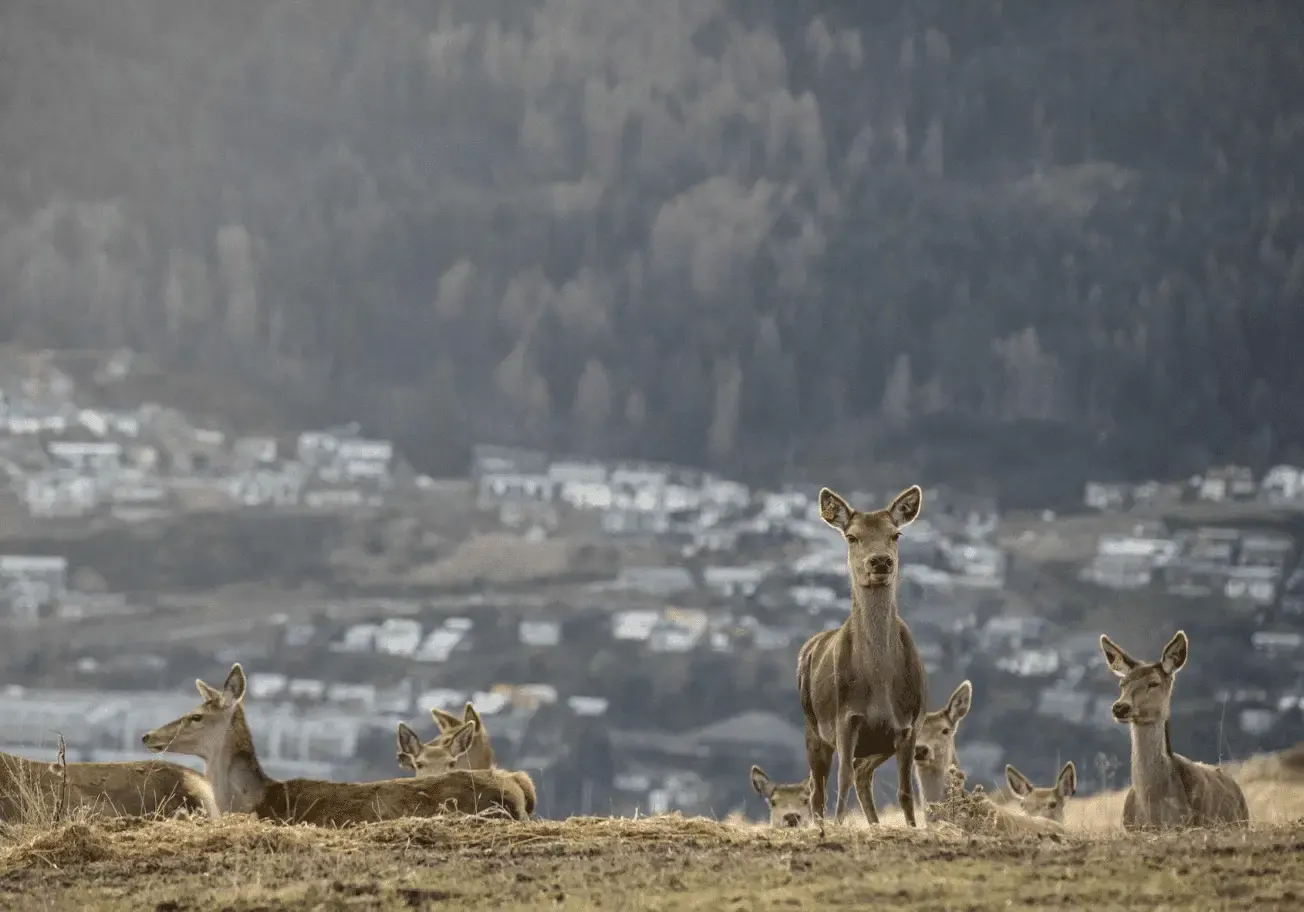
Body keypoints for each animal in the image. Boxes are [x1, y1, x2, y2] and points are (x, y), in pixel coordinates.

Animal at [797, 485, 929, 827]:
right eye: (852, 536)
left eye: (896, 534)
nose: (880, 562)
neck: (879, 682)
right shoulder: (845, 719)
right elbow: (840, 781)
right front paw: (838, 826)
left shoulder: (909, 724)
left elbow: (905, 791)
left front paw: (912, 827)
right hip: (812, 726)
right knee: (819, 789)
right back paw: (822, 824)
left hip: (877, 744)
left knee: (862, 773)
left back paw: (874, 823)